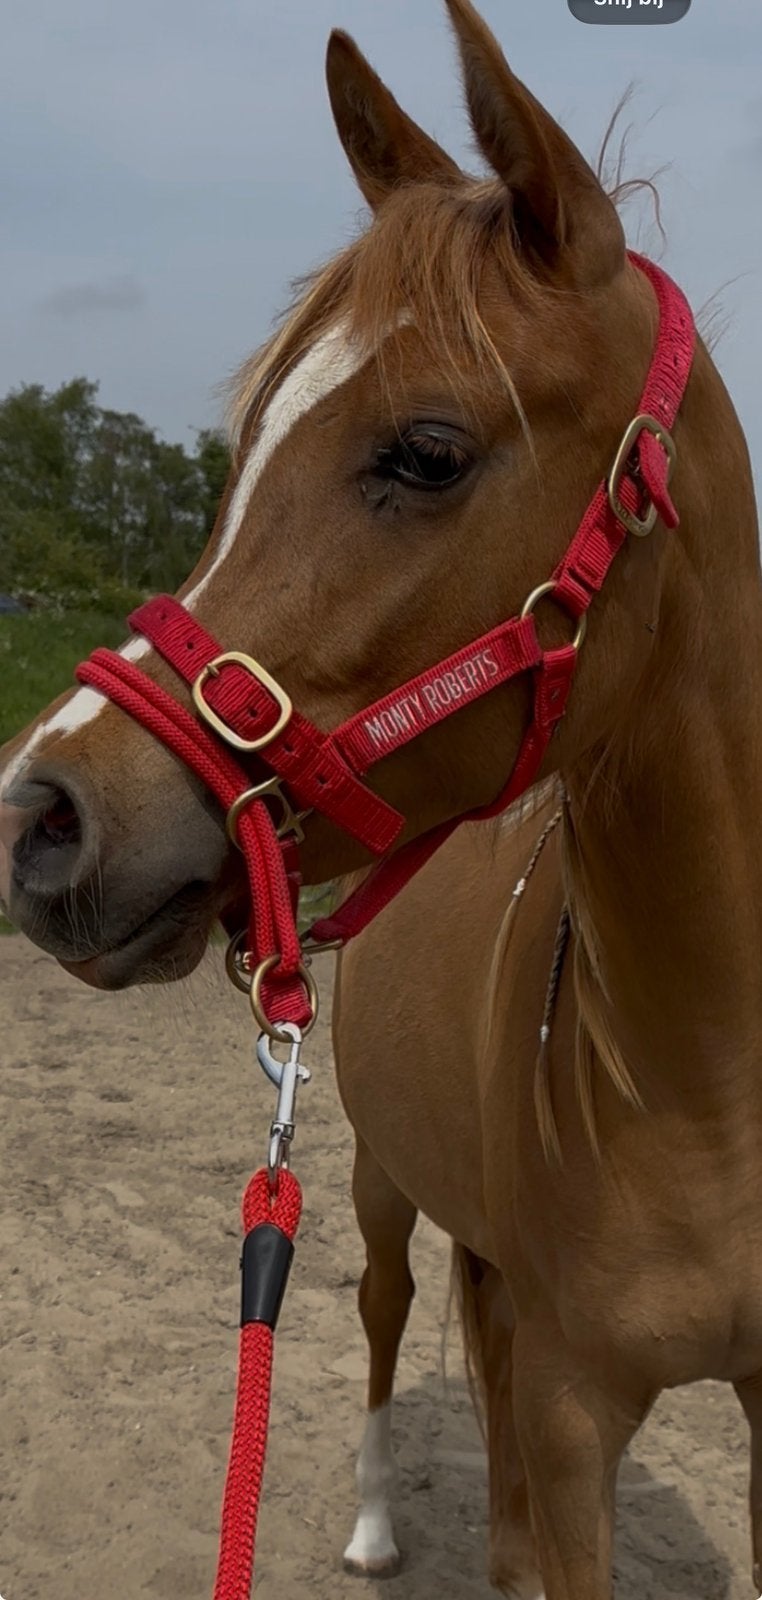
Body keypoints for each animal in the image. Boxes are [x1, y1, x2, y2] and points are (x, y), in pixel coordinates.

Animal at [1, 2, 760, 1596]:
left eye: (425, 451)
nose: (37, 814)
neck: (705, 1074)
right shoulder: (574, 1414)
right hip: (375, 1195)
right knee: (381, 1318)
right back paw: (370, 1524)